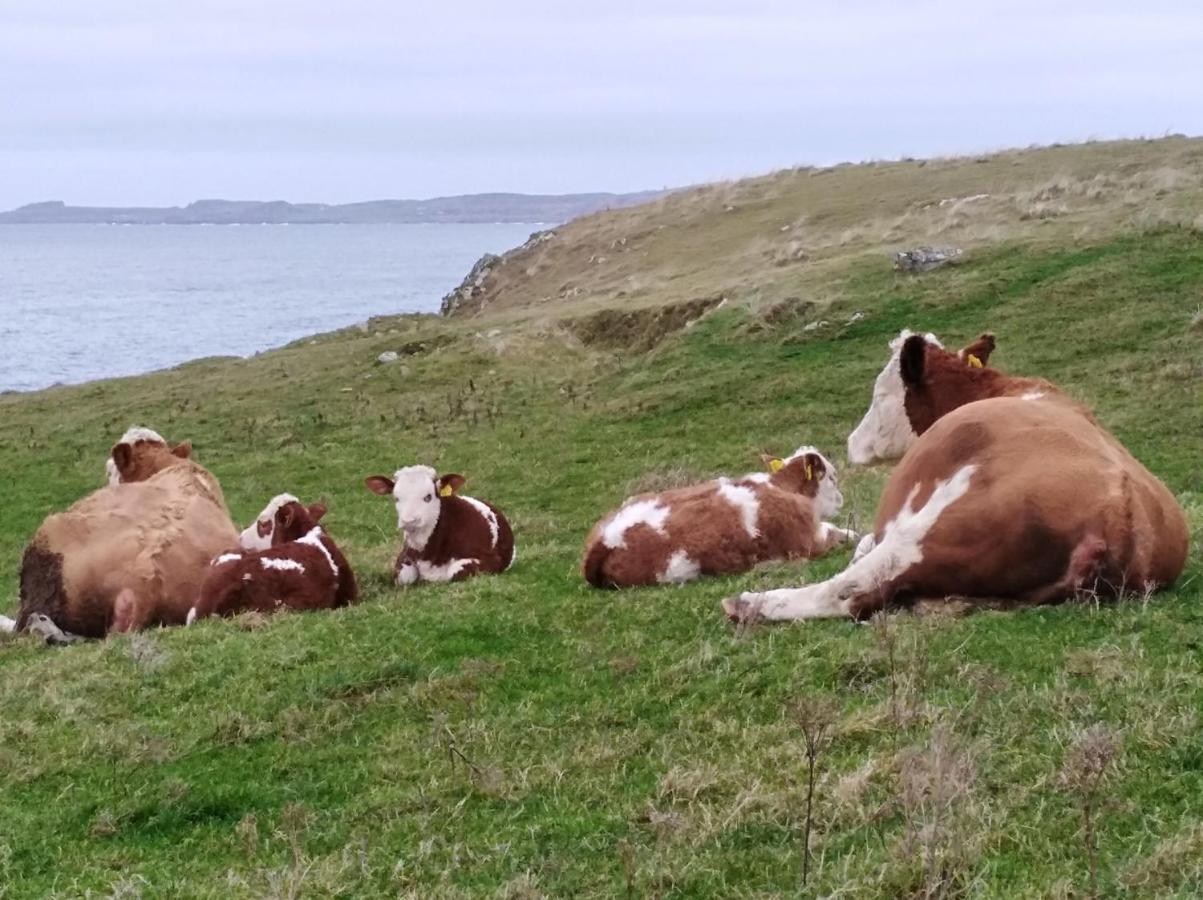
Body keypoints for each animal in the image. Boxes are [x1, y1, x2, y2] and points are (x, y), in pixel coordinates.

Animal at [365, 466, 517, 587]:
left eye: (428, 497)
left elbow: (454, 572)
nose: (409, 521)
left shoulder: (490, 560)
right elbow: (404, 577)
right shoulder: (405, 556)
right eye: (396, 498)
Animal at [582, 445, 856, 587]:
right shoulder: (808, 541)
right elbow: (843, 533)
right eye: (832, 477)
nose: (842, 499)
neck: (780, 486)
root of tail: (603, 539)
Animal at [716, 332, 1188, 625]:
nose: (851, 442)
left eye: (879, 395)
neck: (1005, 389)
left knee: (850, 591)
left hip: (930, 531)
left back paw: (749, 604)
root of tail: (1121, 514)